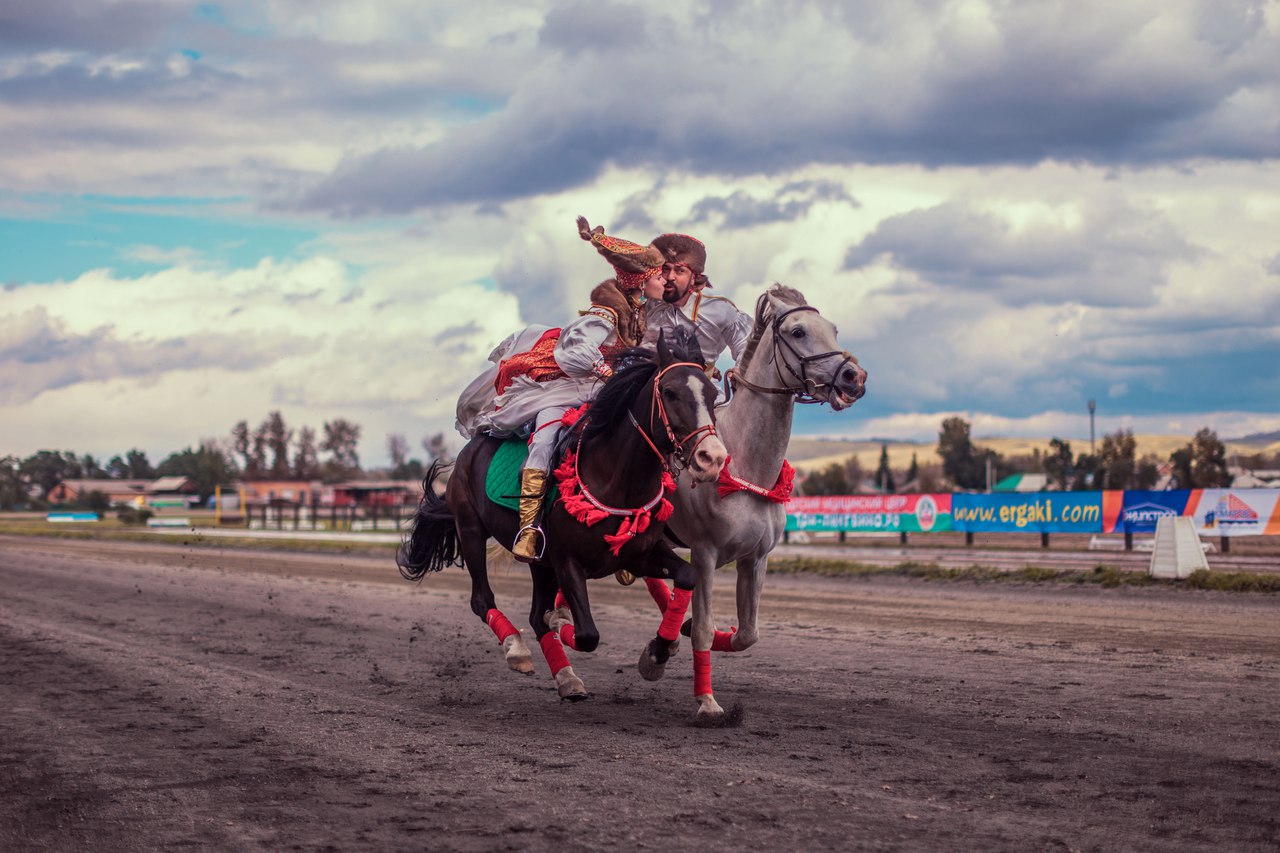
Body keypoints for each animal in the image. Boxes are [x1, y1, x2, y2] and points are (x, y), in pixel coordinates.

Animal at [394, 333, 727, 696]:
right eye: (670, 392)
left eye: (713, 394)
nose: (712, 457)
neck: (614, 478)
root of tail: (466, 453)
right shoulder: (567, 561)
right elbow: (586, 634)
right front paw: (561, 622)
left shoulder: (638, 555)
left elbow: (687, 575)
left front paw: (657, 654)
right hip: (470, 530)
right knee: (483, 601)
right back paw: (517, 648)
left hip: (538, 561)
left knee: (534, 614)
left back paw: (567, 677)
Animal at [645, 285, 865, 717]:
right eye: (798, 331)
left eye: (833, 328)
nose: (854, 376)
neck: (745, 463)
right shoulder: (705, 554)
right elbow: (703, 629)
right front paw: (707, 702)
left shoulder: (756, 558)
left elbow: (747, 634)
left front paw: (693, 634)